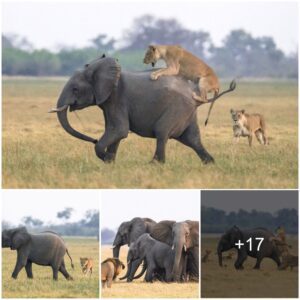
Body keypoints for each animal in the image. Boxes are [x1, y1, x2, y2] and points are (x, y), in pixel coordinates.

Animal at [49, 55, 236, 165]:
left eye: (75, 89)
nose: (93, 139)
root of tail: (196, 93)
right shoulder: (108, 102)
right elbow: (114, 131)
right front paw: (110, 163)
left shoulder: (117, 99)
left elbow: (119, 130)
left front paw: (107, 158)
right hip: (187, 112)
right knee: (192, 139)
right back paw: (210, 163)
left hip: (177, 109)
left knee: (162, 132)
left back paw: (154, 165)